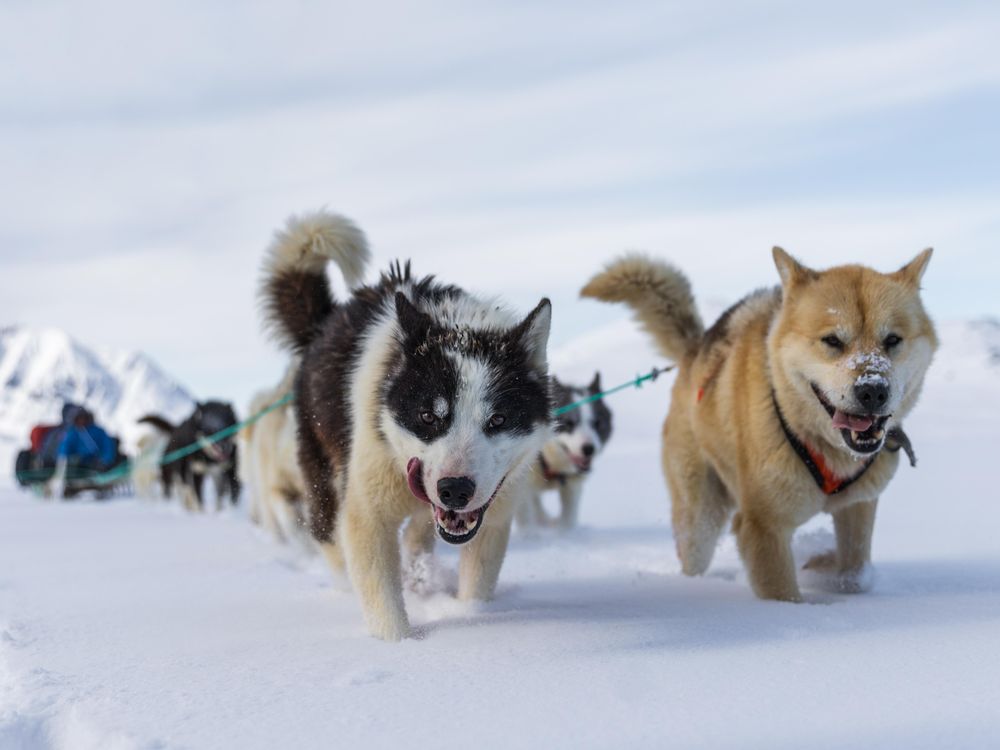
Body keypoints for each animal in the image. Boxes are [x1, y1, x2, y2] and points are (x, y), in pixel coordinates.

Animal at [260, 210, 556, 640]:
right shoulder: (368, 513)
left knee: (418, 536)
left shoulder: (495, 514)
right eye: (428, 416)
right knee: (329, 538)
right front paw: (400, 646)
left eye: (498, 418)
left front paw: (471, 616)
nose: (454, 490)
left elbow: (476, 585)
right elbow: (384, 603)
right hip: (323, 482)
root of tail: (325, 323)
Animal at [520, 374, 612, 528]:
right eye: (569, 423)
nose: (589, 449)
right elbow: (526, 521)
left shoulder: (571, 487)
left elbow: (568, 520)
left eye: (597, 423)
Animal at [584, 250, 940, 604]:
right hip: (700, 519)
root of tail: (694, 349)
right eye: (832, 340)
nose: (872, 390)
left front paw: (823, 565)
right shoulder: (763, 527)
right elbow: (782, 595)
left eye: (892, 340)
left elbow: (855, 573)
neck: (820, 443)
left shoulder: (857, 506)